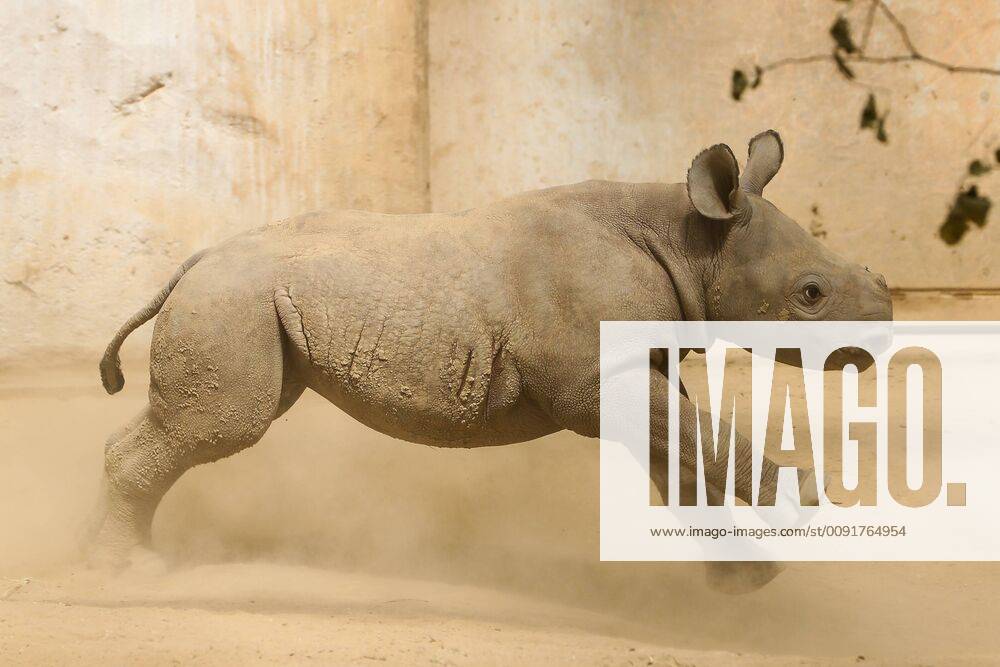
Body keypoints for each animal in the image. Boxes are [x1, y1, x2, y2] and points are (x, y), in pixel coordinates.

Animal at [93, 130, 892, 592]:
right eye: (811, 295)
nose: (883, 326)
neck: (692, 239)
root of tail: (194, 260)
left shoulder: (635, 370)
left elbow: (686, 455)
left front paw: (749, 583)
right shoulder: (596, 379)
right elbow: (701, 442)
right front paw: (810, 496)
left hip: (240, 297)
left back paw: (131, 558)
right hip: (231, 297)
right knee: (223, 425)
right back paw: (130, 572)